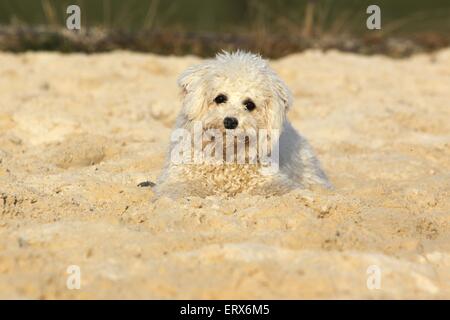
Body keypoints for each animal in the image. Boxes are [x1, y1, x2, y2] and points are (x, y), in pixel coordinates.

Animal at [155, 50, 330, 199]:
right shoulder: (178, 177)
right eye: (220, 98)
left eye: (249, 104)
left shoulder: (271, 180)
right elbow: (180, 189)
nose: (230, 121)